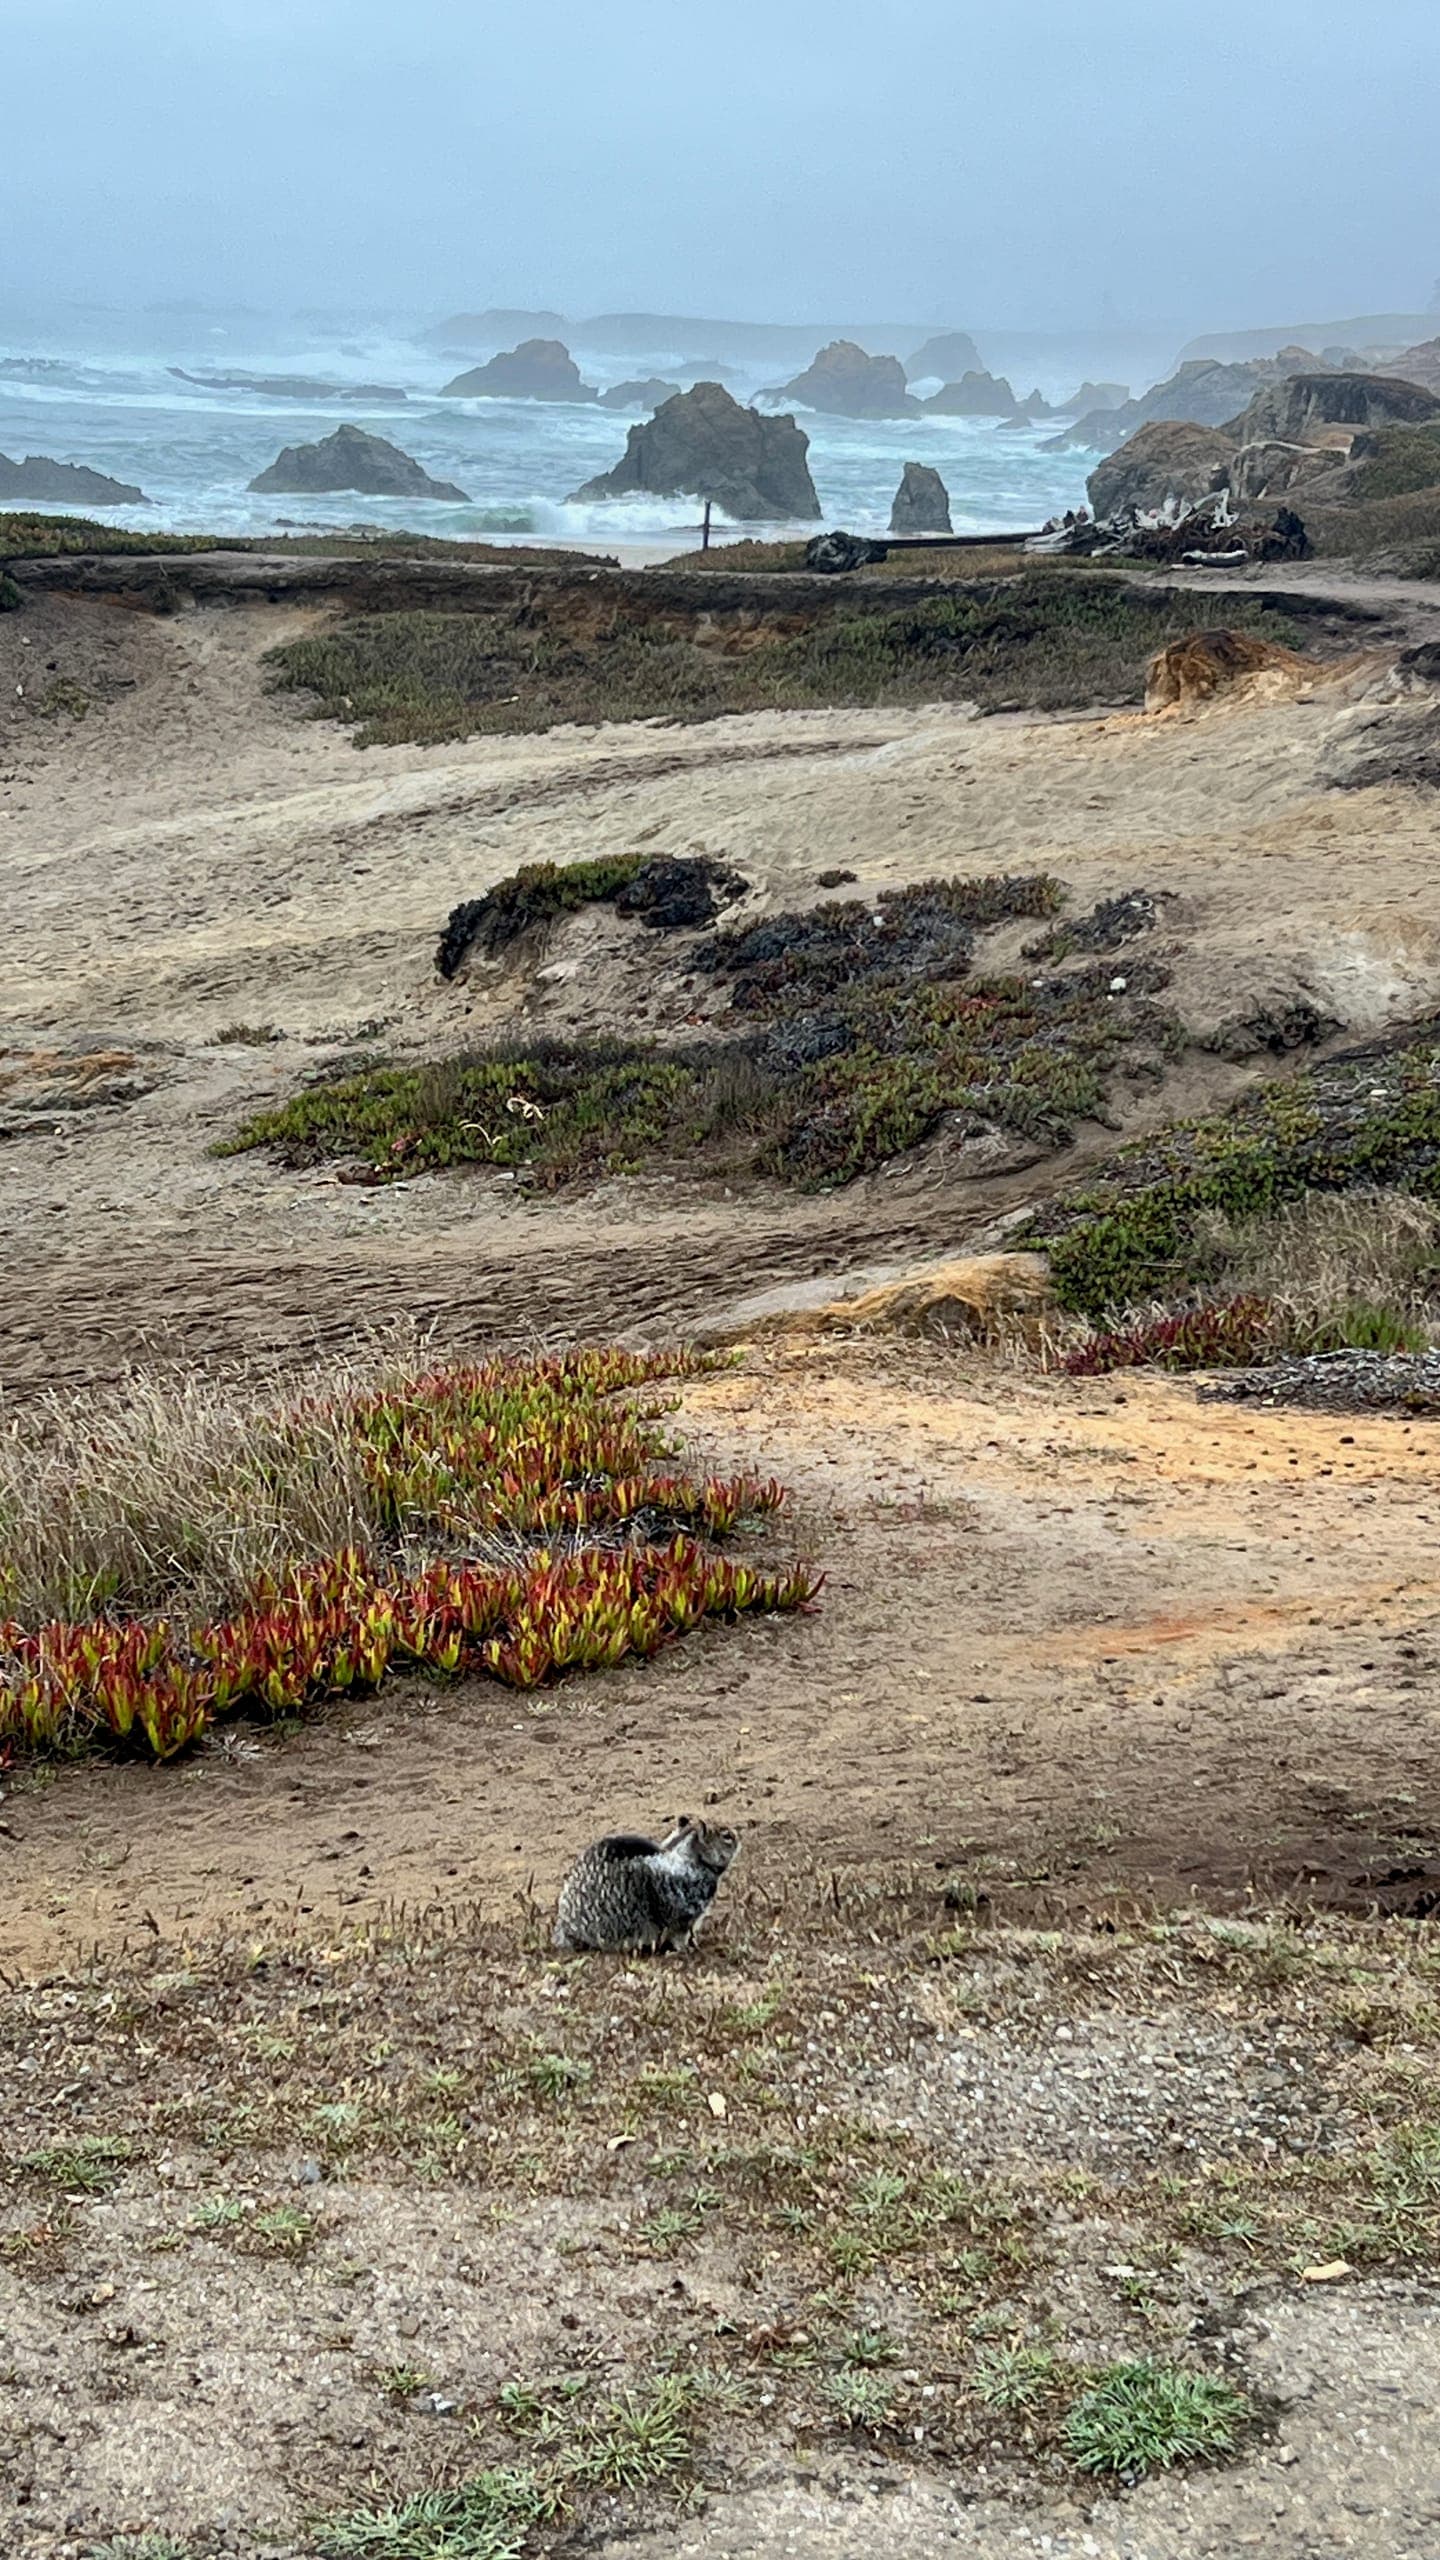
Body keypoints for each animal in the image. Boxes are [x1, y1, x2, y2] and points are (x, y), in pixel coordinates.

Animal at [553, 1816, 739, 1954]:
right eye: (726, 1836)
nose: (738, 1837)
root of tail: (565, 1925)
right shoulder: (682, 1916)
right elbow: (679, 1936)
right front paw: (686, 1949)